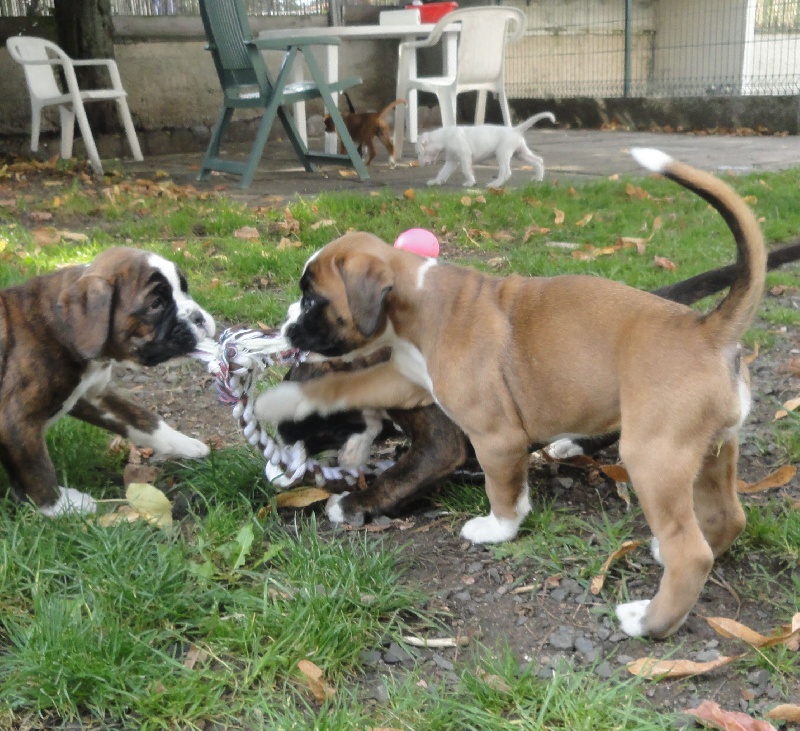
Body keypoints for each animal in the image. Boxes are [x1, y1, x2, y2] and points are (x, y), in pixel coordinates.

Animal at [0, 249, 216, 516]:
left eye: (184, 289)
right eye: (155, 304)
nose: (198, 318)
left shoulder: (94, 396)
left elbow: (143, 420)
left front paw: (184, 444)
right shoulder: (15, 421)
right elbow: (37, 470)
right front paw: (61, 506)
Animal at [256, 150, 768, 640]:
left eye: (313, 301)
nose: (286, 327)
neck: (418, 302)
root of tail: (708, 329)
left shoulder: (494, 437)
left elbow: (499, 487)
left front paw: (497, 529)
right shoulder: (406, 379)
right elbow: (343, 386)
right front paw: (280, 399)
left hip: (653, 457)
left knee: (692, 553)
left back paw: (648, 622)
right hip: (712, 451)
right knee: (728, 518)